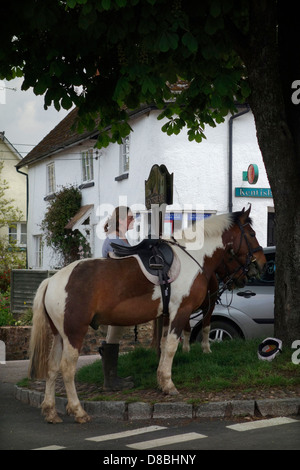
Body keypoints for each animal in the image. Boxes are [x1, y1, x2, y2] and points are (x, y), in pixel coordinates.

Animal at [29, 206, 266, 422]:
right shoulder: (181, 312)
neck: (192, 257)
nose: (261, 264)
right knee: (67, 369)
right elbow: (171, 347)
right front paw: (168, 384)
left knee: (52, 368)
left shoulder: (168, 315)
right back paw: (78, 411)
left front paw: (161, 380)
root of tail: (52, 280)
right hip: (74, 333)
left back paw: (50, 411)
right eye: (251, 234)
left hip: (59, 335)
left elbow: (163, 345)